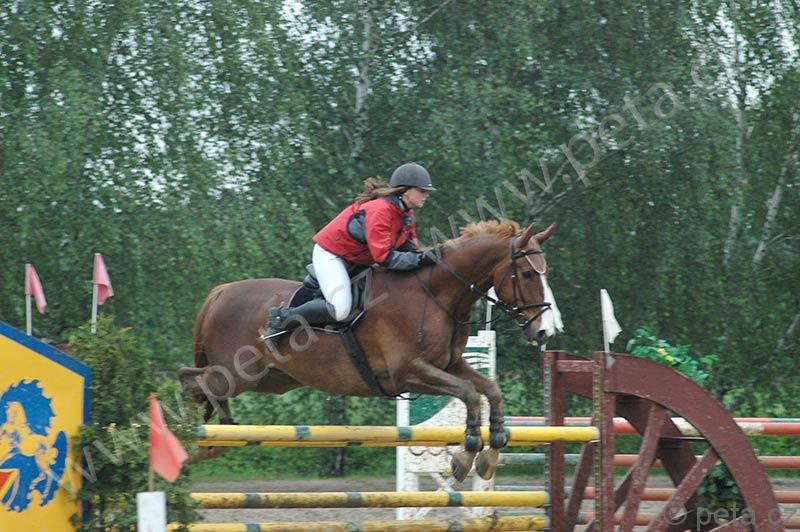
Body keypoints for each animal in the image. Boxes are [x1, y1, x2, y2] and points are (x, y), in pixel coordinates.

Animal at [178, 219, 561, 481]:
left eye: (547, 272)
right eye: (528, 274)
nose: (545, 331)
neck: (437, 295)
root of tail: (222, 292)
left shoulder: (449, 365)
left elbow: (489, 390)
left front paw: (490, 452)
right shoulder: (407, 373)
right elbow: (469, 393)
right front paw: (465, 456)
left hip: (272, 380)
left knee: (202, 387)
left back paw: (214, 439)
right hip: (239, 373)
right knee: (190, 379)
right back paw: (195, 440)